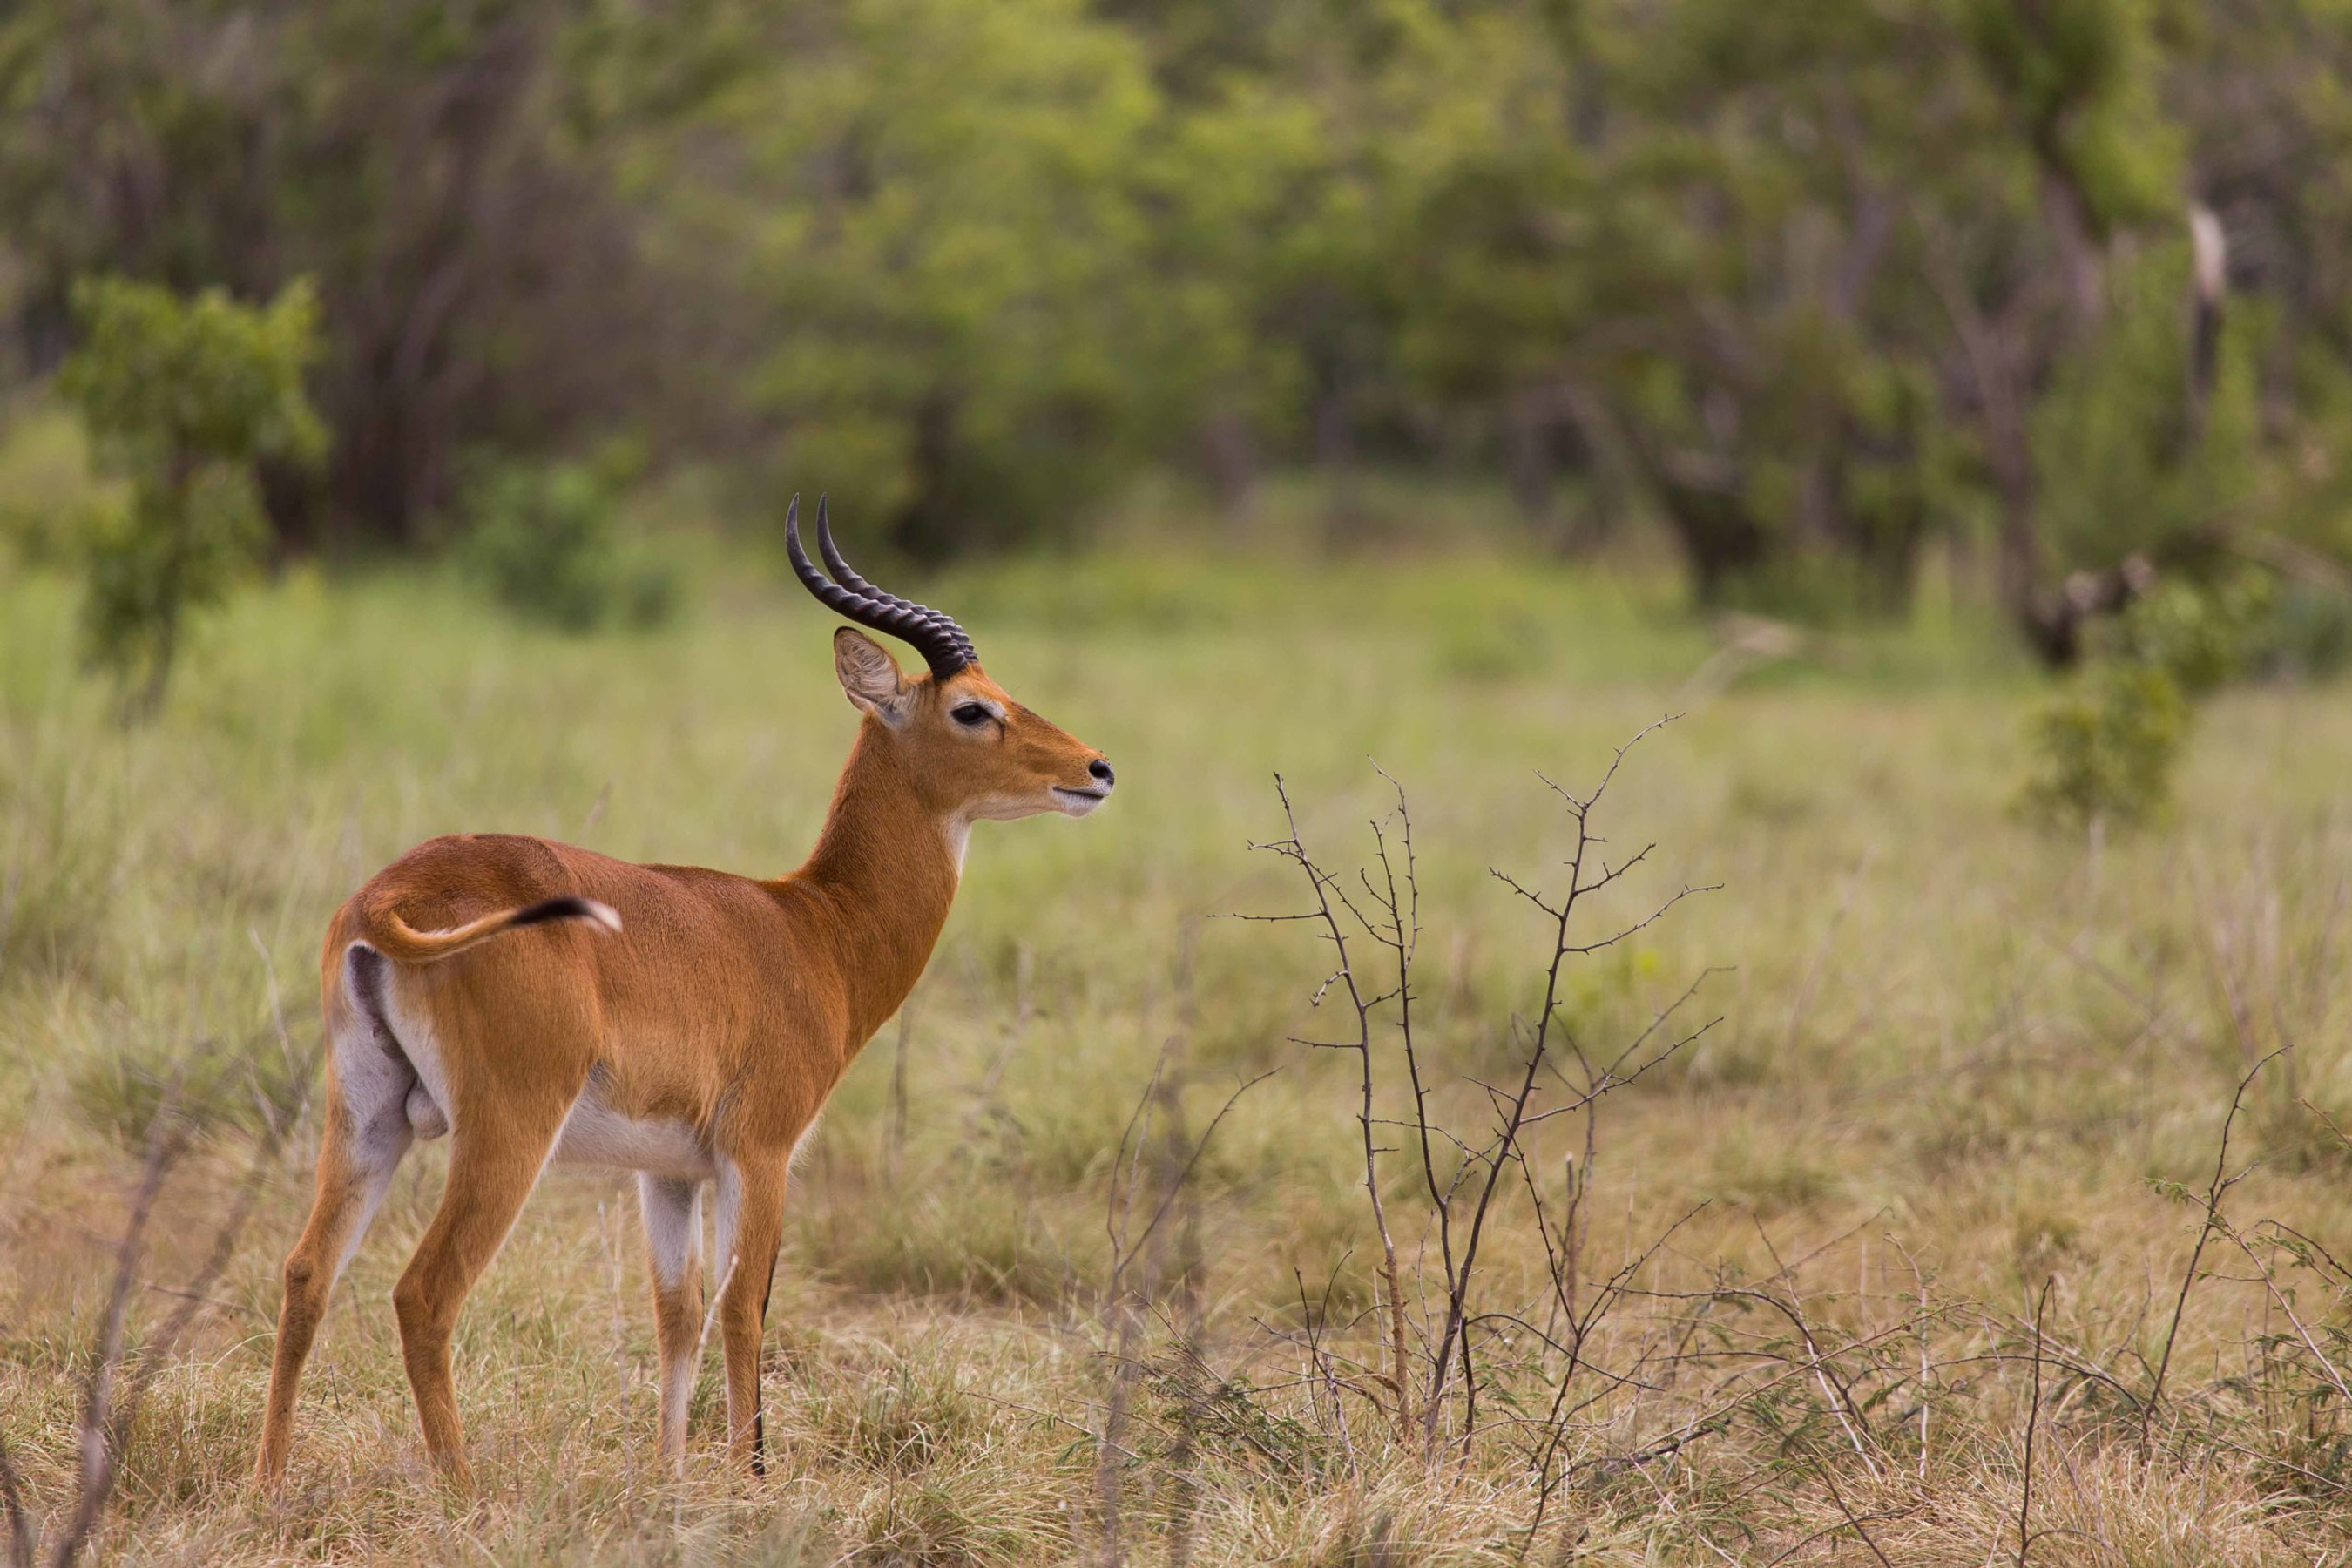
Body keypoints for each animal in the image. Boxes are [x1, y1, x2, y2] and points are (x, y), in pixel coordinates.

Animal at [253, 500, 1114, 1485]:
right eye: (974, 708)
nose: (1097, 769)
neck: (812, 929)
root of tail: (393, 897)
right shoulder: (761, 1153)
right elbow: (743, 1310)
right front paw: (749, 1481)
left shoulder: (666, 1173)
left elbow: (677, 1314)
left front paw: (670, 1478)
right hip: (507, 1128)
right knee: (424, 1294)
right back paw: (467, 1496)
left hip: (367, 1116)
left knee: (307, 1271)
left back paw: (268, 1489)